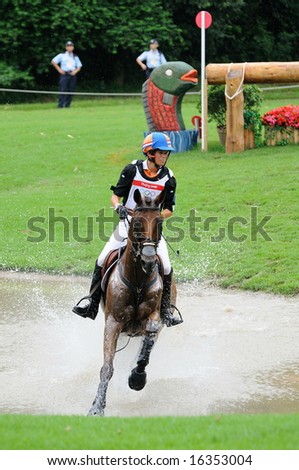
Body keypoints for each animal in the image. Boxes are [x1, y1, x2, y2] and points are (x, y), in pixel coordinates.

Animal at [89, 189, 178, 416]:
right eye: (136, 222)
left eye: (159, 223)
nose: (148, 260)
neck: (138, 280)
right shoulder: (113, 322)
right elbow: (107, 367)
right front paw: (96, 407)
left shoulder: (154, 318)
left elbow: (146, 346)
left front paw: (137, 378)